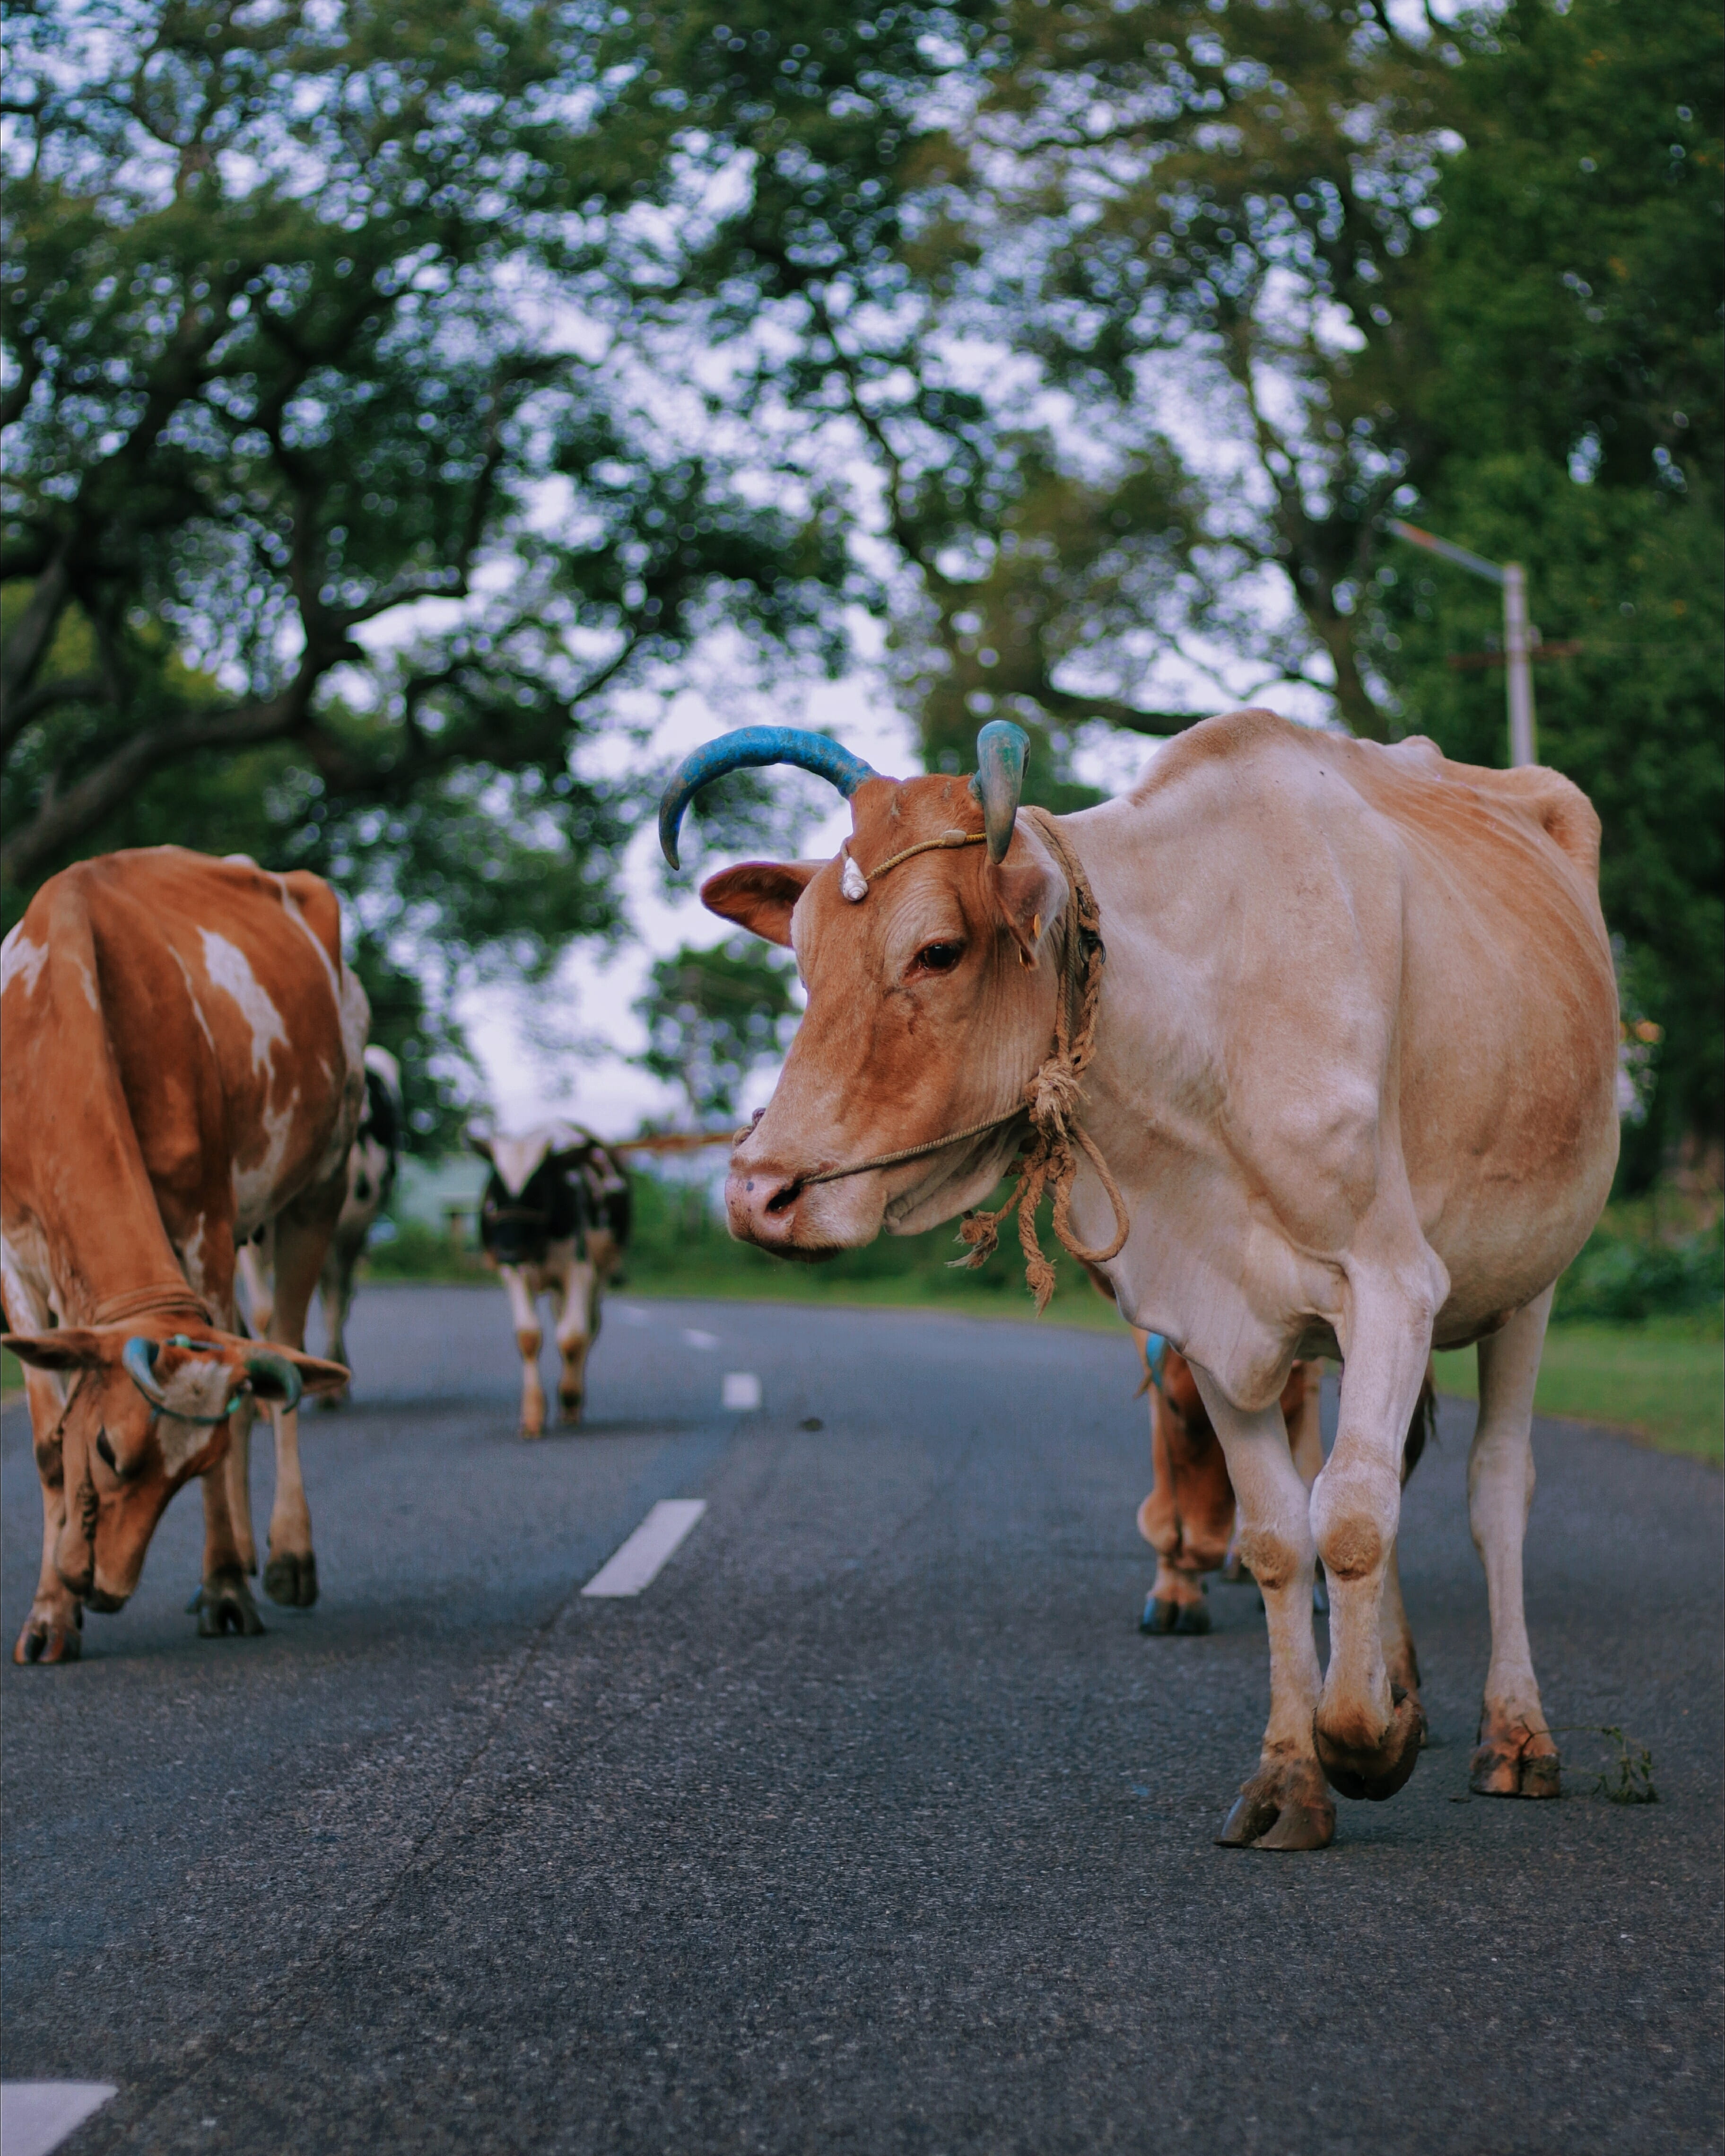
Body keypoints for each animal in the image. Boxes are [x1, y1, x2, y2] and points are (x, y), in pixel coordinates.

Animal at [1, 847, 362, 1661]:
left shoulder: (206, 1224)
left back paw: (283, 1557)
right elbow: (44, 1443)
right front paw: (49, 1615)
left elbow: (236, 1417)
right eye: (108, 1448)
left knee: (281, 1355)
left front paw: (227, 1585)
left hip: (321, 1185)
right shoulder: (10, 1251)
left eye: (186, 1467)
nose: (103, 1589)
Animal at [468, 1123, 632, 1437]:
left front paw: (569, 1397)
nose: (508, 1251)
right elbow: (529, 1337)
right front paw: (532, 1414)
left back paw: (574, 1400)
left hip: (601, 1273)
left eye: (538, 1188)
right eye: (495, 1190)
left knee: (590, 1327)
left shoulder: (580, 1271)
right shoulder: (515, 1273)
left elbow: (572, 1339)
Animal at [657, 709, 1619, 1850]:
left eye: (937, 950)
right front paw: (1295, 1769)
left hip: (1527, 1279)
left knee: (1493, 1488)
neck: (1203, 1030)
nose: (759, 1191)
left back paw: (1512, 1733)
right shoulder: (1208, 1320)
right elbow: (1280, 1535)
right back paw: (1402, 1685)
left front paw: (1360, 1743)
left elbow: (1349, 1515)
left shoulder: (1394, 1282)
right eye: (803, 955)